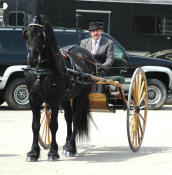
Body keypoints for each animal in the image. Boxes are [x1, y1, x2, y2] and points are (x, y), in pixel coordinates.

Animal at [23, 15, 97, 161]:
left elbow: (53, 125)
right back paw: (67, 144)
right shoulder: (34, 100)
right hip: (66, 98)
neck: (41, 70)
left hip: (81, 95)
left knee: (76, 118)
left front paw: (52, 152)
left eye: (41, 35)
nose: (32, 59)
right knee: (68, 118)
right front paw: (33, 152)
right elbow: (35, 126)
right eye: (27, 34)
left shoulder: (54, 100)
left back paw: (71, 147)